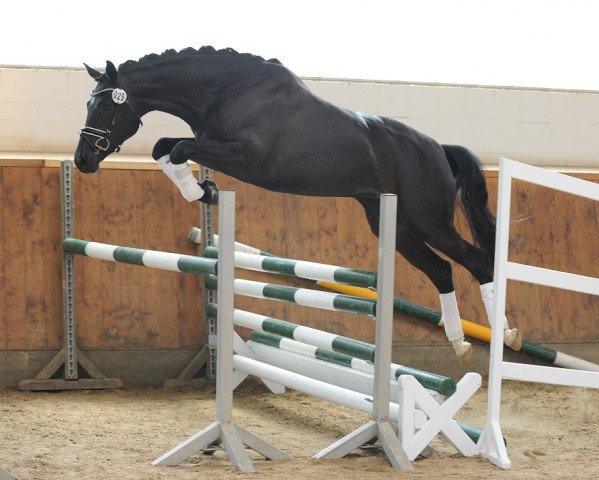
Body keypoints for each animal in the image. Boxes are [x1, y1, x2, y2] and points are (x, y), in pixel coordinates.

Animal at [75, 47, 524, 360]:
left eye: (105, 103)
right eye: (88, 102)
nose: (82, 160)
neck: (227, 91)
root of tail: (438, 150)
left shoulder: (244, 157)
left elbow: (179, 147)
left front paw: (204, 191)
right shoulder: (212, 144)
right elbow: (163, 147)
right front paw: (203, 191)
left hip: (430, 222)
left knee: (475, 261)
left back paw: (505, 336)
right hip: (393, 225)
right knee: (441, 270)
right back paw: (460, 343)